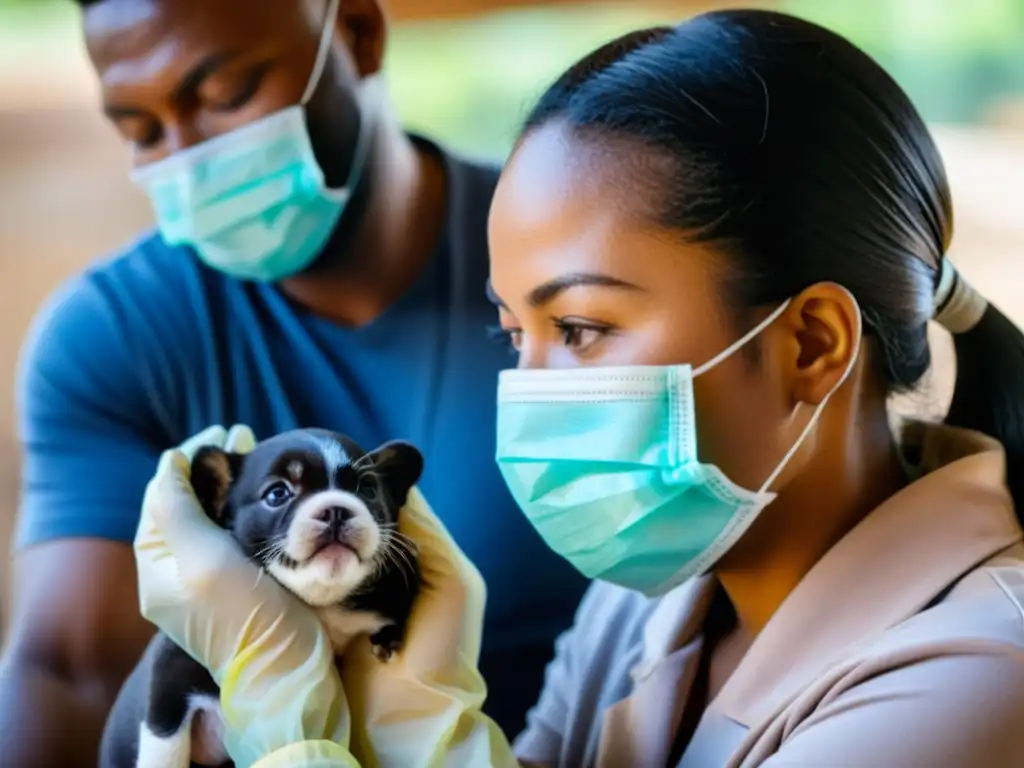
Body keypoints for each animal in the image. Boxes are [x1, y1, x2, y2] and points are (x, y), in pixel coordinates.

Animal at [98, 430, 423, 765]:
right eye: (277, 494)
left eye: (368, 491)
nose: (336, 509)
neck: (321, 607)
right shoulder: (168, 680)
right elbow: (163, 743)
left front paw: (387, 640)